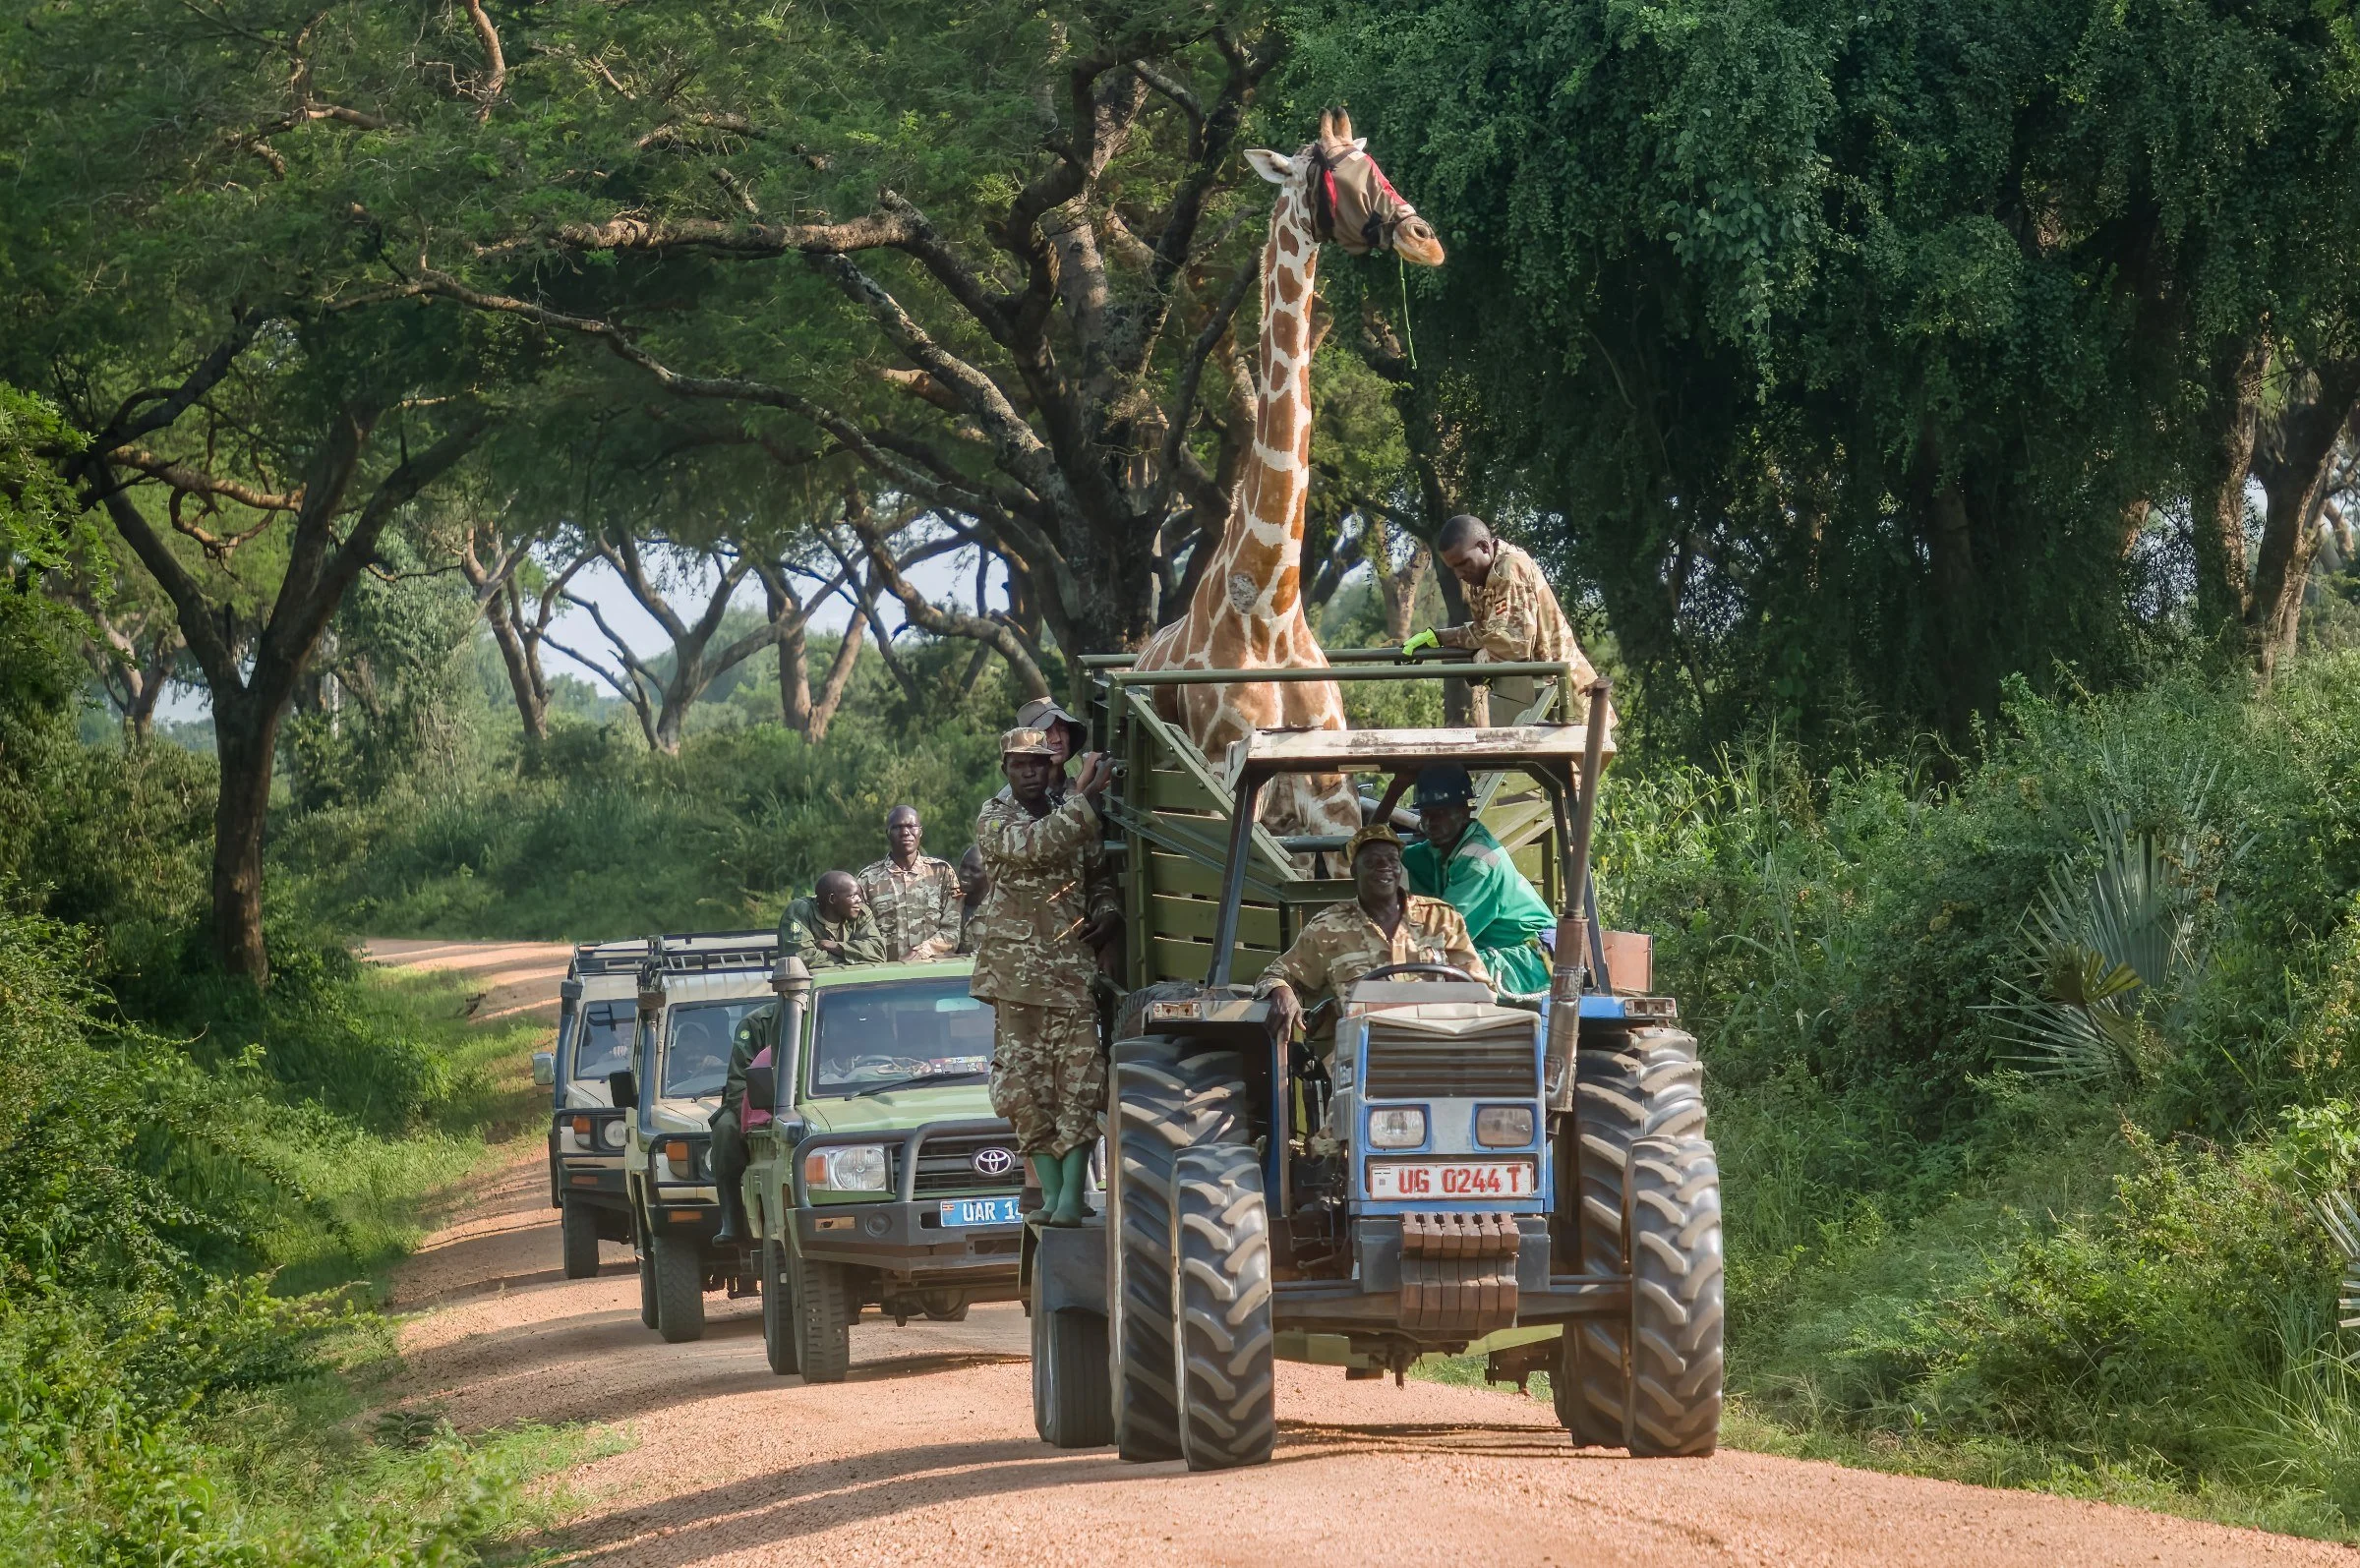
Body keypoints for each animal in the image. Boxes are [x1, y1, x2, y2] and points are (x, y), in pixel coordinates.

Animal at [1134, 110, 1445, 842]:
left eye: (1376, 163)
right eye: (1341, 175)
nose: (1427, 241)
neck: (1270, 608)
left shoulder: (1330, 793)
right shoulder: (1232, 783)